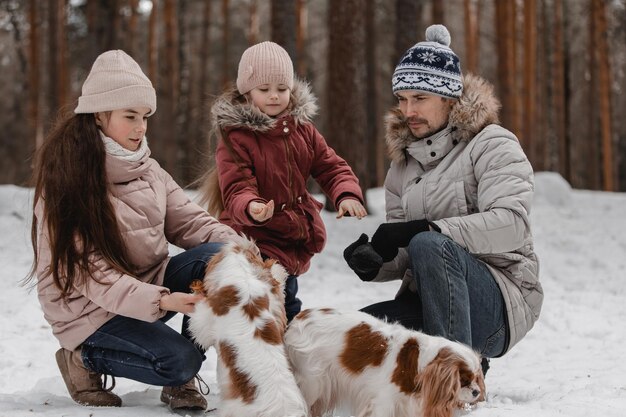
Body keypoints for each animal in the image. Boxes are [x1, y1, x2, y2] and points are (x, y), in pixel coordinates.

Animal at [286, 308, 486, 416]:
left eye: (476, 378)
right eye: (463, 380)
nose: (476, 392)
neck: (419, 366)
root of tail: (298, 318)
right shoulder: (383, 402)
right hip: (313, 383)